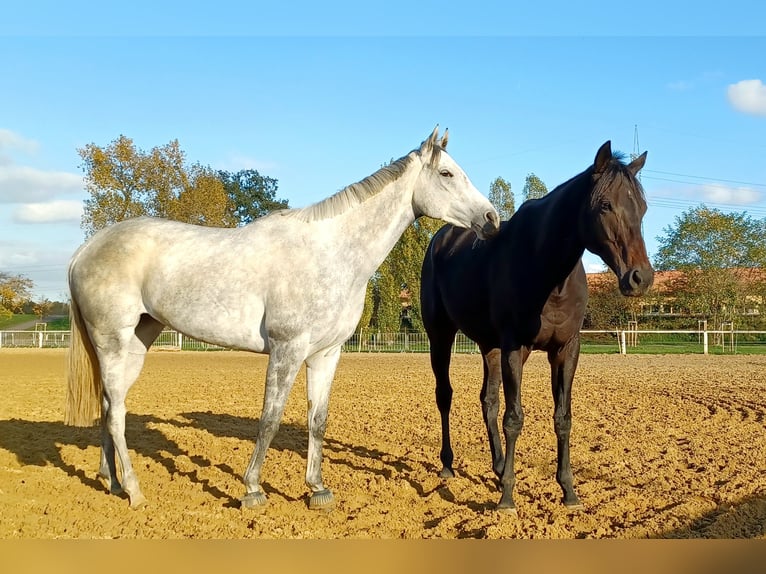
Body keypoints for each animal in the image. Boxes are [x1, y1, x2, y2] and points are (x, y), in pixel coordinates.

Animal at [65, 127, 500, 510]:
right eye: (446, 174)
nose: (491, 219)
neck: (331, 252)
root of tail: (85, 250)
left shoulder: (326, 354)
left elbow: (317, 420)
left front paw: (317, 489)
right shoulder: (286, 350)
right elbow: (269, 420)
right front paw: (253, 489)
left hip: (137, 341)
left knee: (109, 406)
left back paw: (111, 480)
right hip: (113, 343)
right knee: (116, 415)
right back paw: (135, 492)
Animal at [420, 141, 653, 513]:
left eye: (642, 207)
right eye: (605, 205)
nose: (640, 278)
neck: (548, 272)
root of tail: (441, 239)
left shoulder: (565, 349)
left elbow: (562, 418)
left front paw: (568, 491)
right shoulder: (516, 348)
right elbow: (514, 418)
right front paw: (507, 497)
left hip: (490, 347)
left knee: (488, 401)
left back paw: (499, 466)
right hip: (440, 336)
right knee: (445, 396)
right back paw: (448, 465)